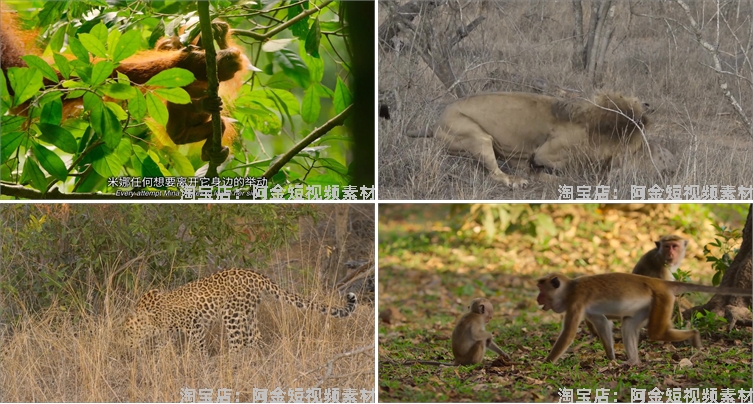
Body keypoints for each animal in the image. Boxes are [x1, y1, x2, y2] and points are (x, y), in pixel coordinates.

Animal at [124, 270, 358, 352]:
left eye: (127, 333)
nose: (126, 346)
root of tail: (257, 275)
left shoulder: (194, 326)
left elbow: (199, 347)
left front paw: (200, 363)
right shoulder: (167, 332)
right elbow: (161, 347)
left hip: (233, 316)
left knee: (239, 343)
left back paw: (230, 362)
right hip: (248, 314)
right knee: (255, 339)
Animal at [420, 91, 672, 188]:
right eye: (646, 149)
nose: (670, 160)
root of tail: (433, 126)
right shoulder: (548, 152)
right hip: (476, 135)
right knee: (495, 173)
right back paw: (517, 181)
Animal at [536, 274, 748, 364]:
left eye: (542, 291)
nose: (537, 299)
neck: (569, 289)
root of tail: (660, 282)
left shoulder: (576, 302)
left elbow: (569, 334)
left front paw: (546, 362)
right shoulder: (585, 308)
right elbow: (602, 323)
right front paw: (611, 357)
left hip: (662, 298)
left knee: (656, 332)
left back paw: (694, 335)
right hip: (650, 303)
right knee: (629, 324)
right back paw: (633, 361)